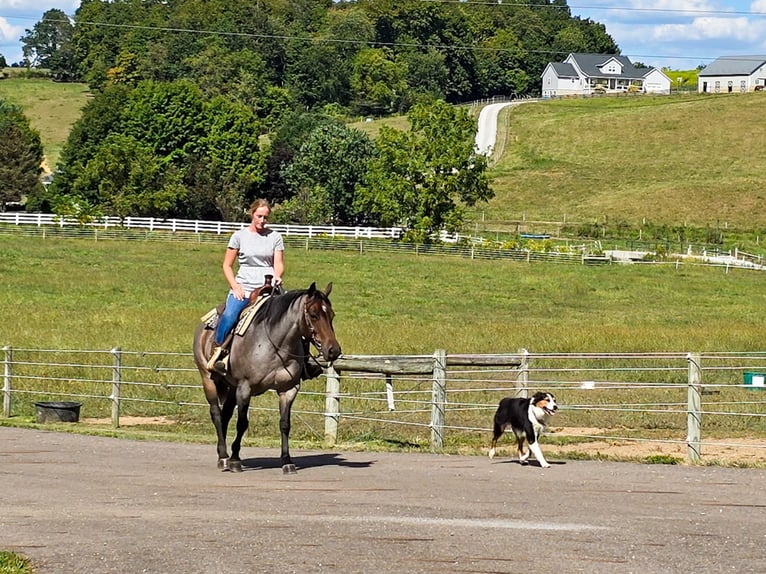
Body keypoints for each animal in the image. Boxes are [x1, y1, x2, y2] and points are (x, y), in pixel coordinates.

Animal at [193, 282, 341, 474]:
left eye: (332, 314)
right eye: (314, 315)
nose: (334, 350)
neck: (276, 345)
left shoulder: (288, 390)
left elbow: (285, 424)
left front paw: (287, 460)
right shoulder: (245, 388)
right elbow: (242, 423)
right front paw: (235, 460)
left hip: (231, 388)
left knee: (225, 415)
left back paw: (221, 453)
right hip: (208, 379)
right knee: (217, 414)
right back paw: (224, 458)